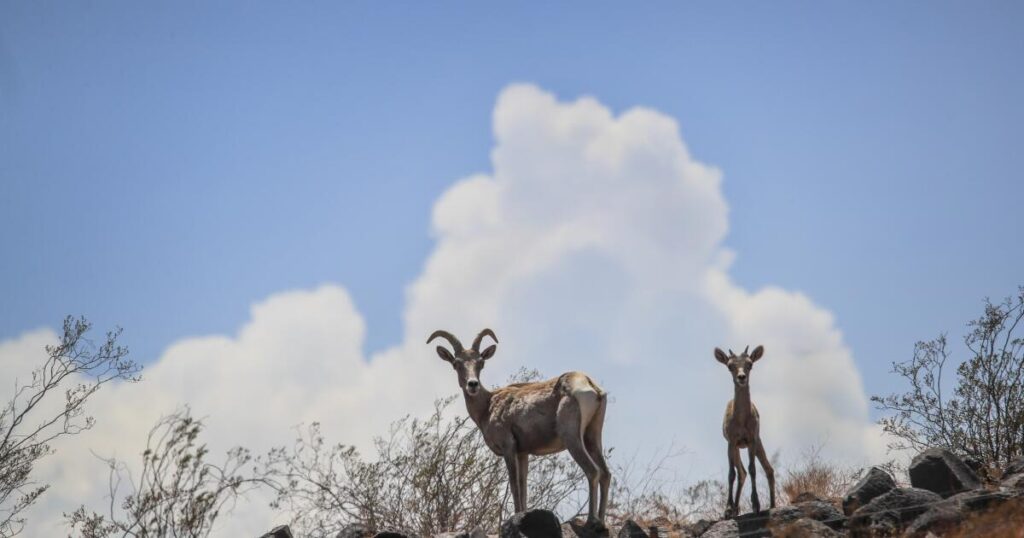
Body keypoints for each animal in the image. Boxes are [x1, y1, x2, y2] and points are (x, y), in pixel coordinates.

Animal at [430, 327, 610, 524]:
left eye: (481, 362)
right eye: (456, 363)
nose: (472, 384)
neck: (488, 405)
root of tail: (589, 385)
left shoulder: (509, 448)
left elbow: (515, 485)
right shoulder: (523, 453)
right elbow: (523, 487)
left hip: (572, 439)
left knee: (592, 471)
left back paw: (591, 521)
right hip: (592, 437)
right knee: (605, 475)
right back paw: (601, 521)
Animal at [712, 344, 774, 516]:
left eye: (750, 364)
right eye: (729, 366)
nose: (741, 377)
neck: (741, 421)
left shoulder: (752, 439)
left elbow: (753, 469)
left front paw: (756, 505)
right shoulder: (732, 441)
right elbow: (731, 474)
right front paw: (728, 509)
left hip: (758, 442)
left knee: (768, 469)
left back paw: (773, 505)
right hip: (738, 447)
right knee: (741, 472)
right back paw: (735, 508)